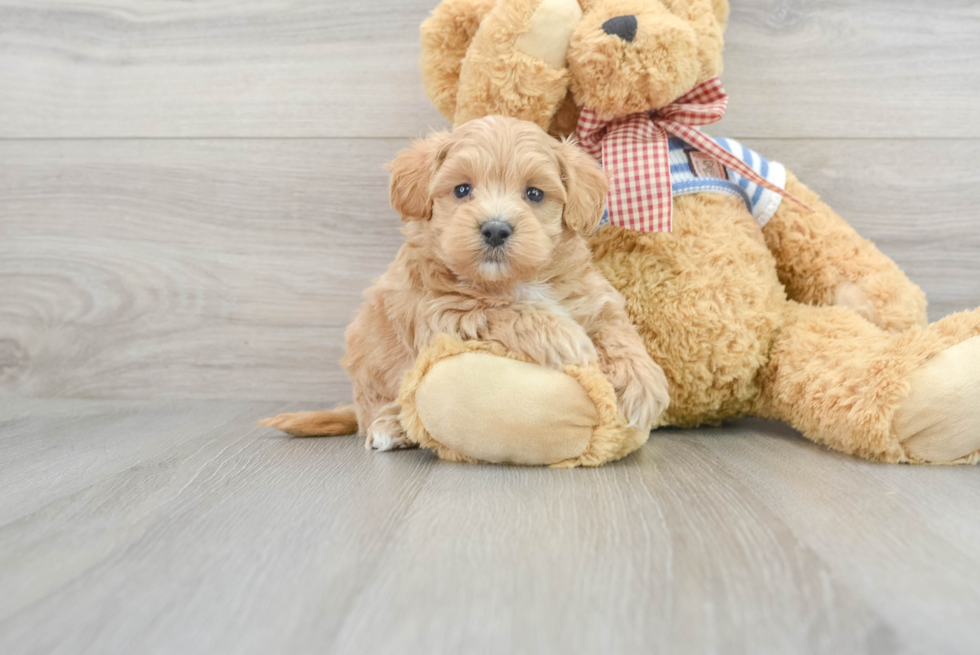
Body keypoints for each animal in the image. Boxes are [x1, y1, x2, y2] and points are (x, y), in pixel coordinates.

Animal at [264, 115, 668, 452]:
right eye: (462, 190)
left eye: (534, 194)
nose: (496, 229)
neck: (514, 279)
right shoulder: (443, 312)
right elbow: (503, 309)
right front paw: (564, 337)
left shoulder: (594, 299)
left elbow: (619, 333)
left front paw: (643, 384)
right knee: (375, 413)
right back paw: (390, 427)